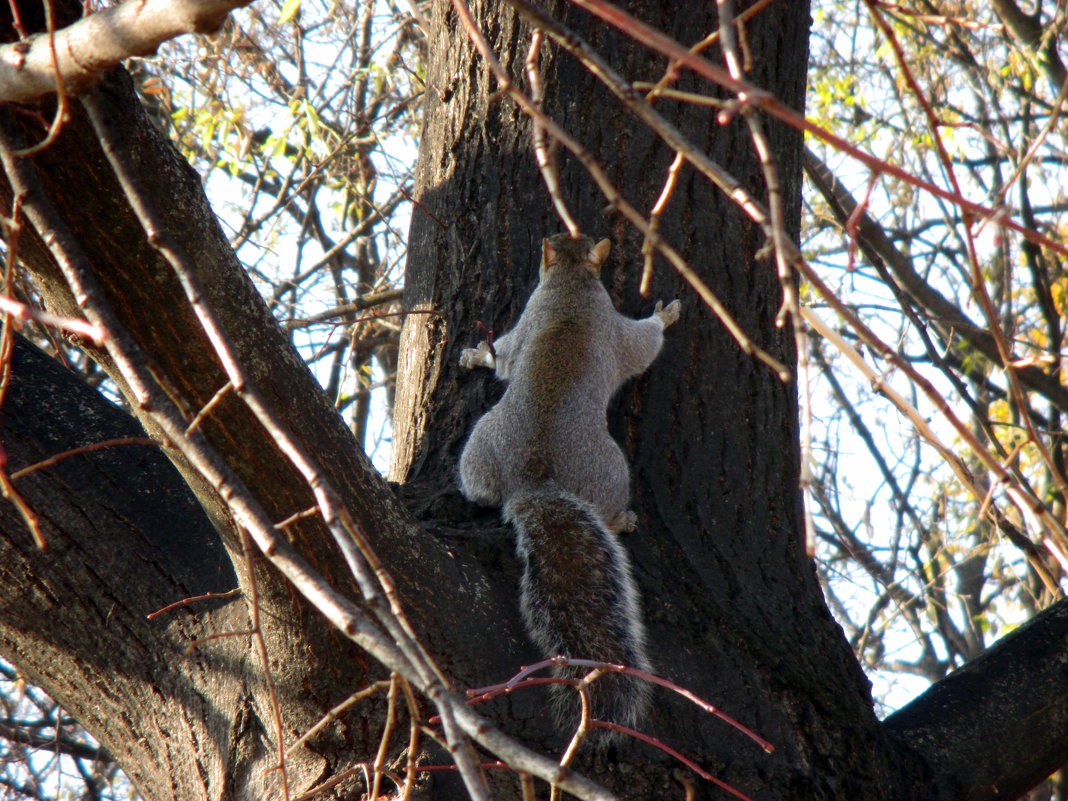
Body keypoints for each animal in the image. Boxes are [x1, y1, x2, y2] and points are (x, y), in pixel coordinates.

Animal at [454, 231, 679, 739]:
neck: (572, 283)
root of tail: (531, 483)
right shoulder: (613, 326)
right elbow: (643, 344)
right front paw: (665, 315)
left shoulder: (526, 320)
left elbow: (503, 354)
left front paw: (476, 354)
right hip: (612, 468)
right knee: (609, 508)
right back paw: (621, 520)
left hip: (479, 446)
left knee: (478, 488)